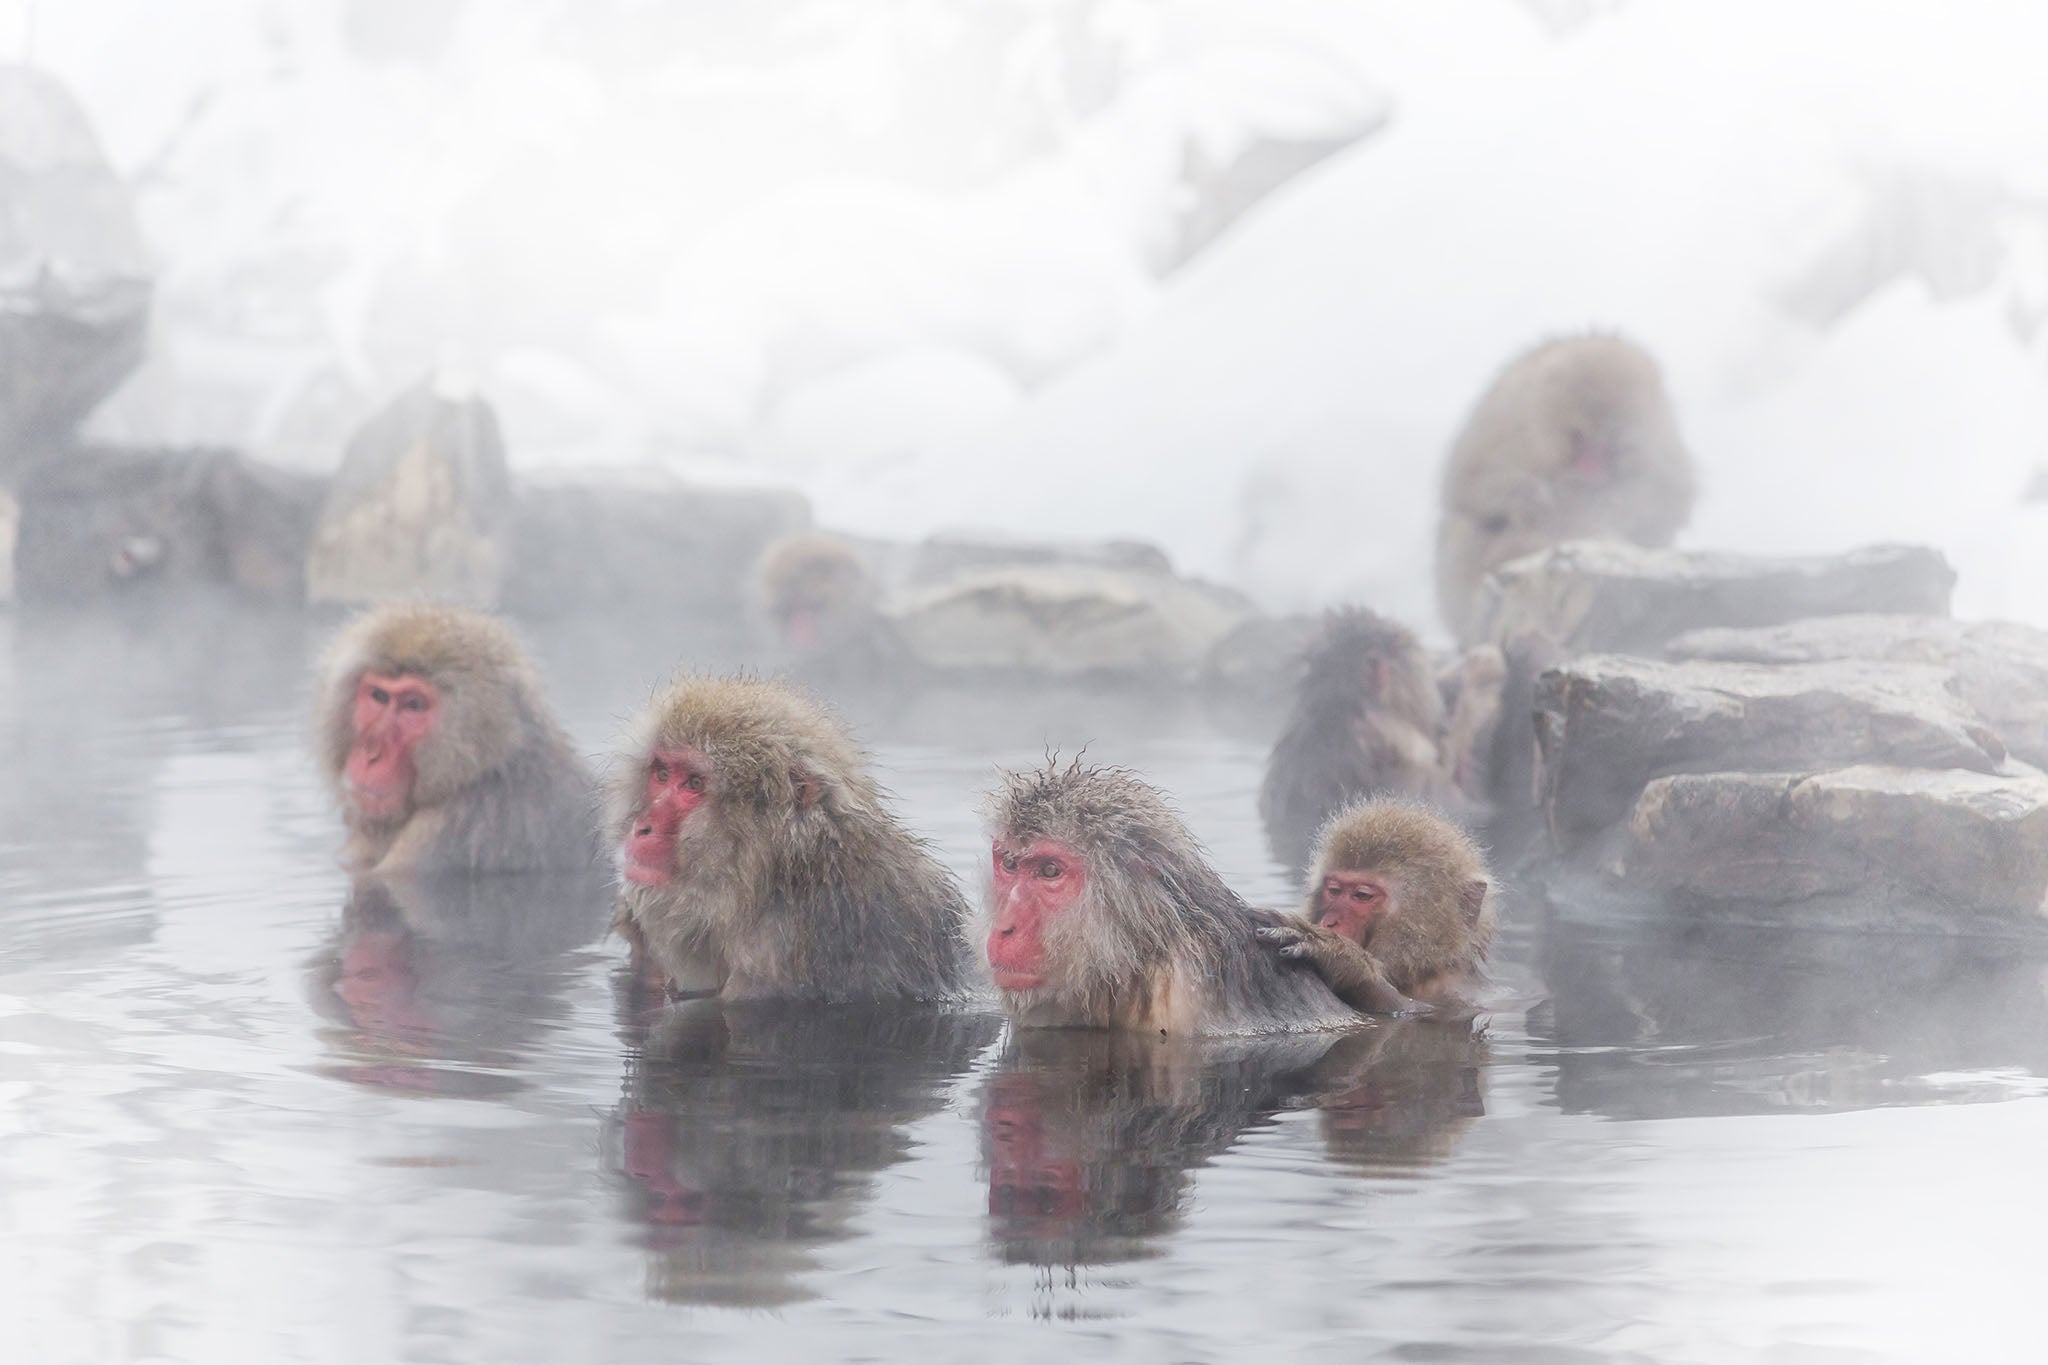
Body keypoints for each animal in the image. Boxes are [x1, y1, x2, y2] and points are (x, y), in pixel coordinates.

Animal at [1435, 333, 1695, 644]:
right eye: (1578, 437)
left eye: (1609, 446)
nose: (1591, 472)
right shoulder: (1508, 424)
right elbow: (1477, 488)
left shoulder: (1662, 447)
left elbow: (1665, 506)